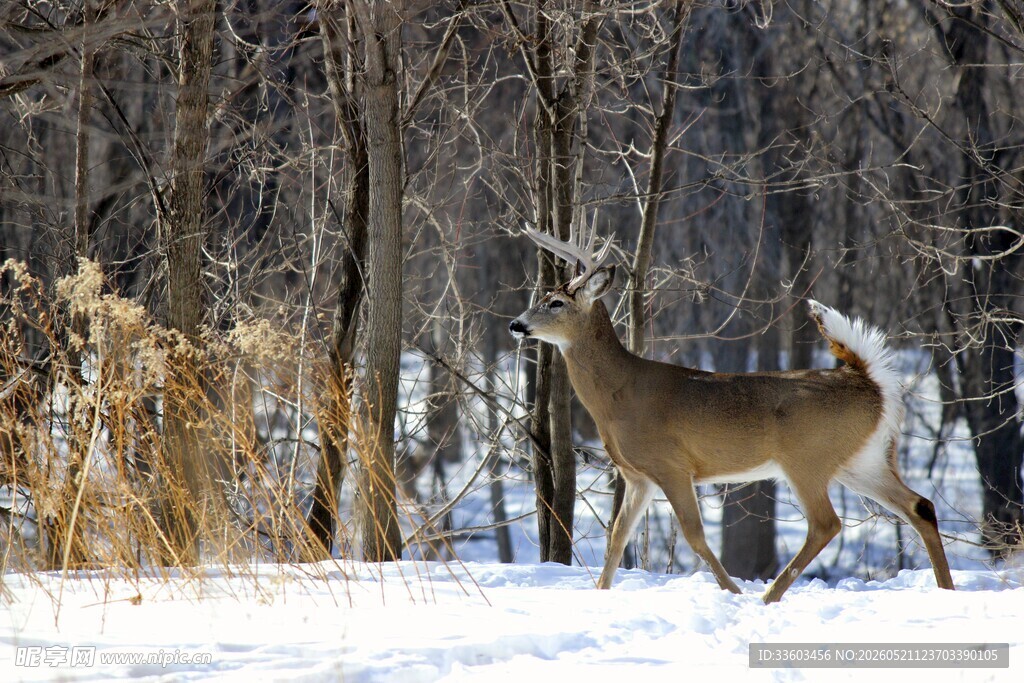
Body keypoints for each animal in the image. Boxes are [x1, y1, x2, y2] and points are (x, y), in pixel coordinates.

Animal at [508, 223, 954, 604]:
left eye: (554, 302)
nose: (515, 324)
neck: (620, 394)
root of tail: (870, 381)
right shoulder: (637, 475)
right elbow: (617, 538)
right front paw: (600, 595)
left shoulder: (672, 465)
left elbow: (695, 537)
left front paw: (733, 592)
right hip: (862, 460)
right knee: (920, 506)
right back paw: (947, 590)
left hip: (806, 458)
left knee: (827, 523)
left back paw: (767, 596)